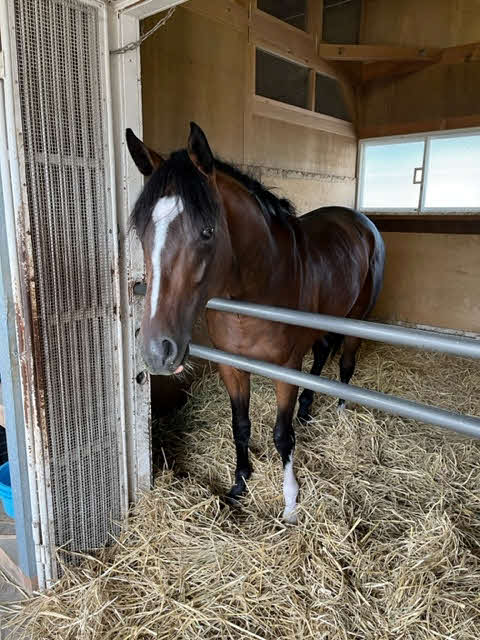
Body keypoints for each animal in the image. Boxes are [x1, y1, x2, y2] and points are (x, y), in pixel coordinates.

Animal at [127, 122, 385, 523]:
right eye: (141, 232)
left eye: (207, 232)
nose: (158, 351)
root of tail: (362, 222)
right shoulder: (231, 366)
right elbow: (241, 425)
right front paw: (239, 483)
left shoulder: (286, 368)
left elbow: (282, 434)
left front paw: (291, 504)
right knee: (323, 354)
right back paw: (308, 408)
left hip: (357, 319)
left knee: (345, 364)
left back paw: (341, 414)